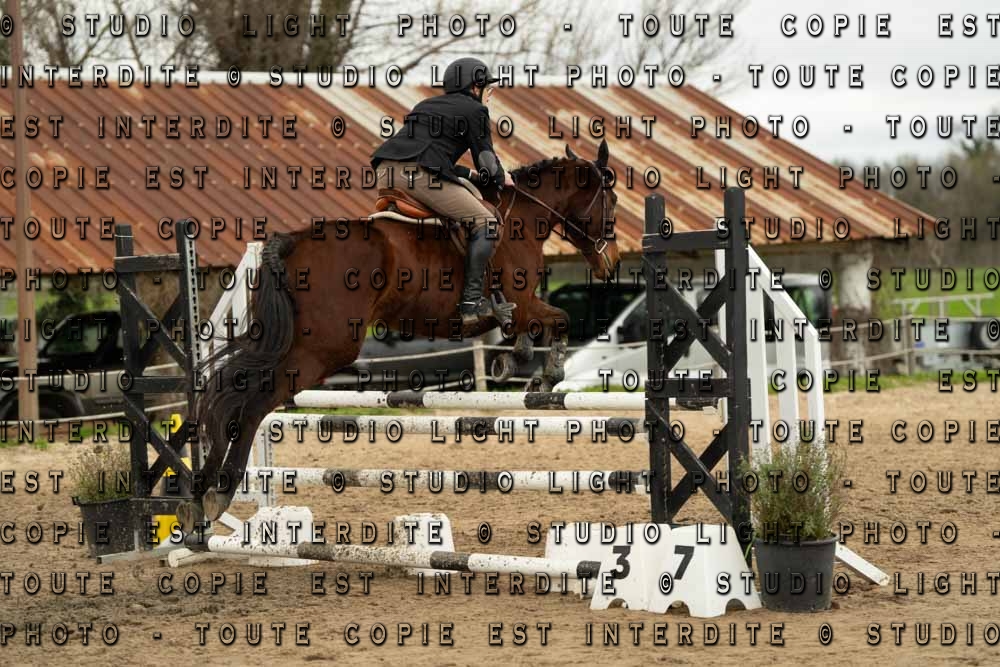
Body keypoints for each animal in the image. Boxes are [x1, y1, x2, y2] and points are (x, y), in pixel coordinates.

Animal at [181, 140, 622, 526]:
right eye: (612, 202)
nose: (611, 264)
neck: (522, 219)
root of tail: (293, 242)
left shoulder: (519, 311)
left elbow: (533, 331)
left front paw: (518, 362)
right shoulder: (523, 303)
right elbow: (560, 319)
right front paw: (546, 376)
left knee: (233, 389)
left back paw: (201, 491)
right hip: (323, 350)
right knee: (253, 402)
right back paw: (219, 492)